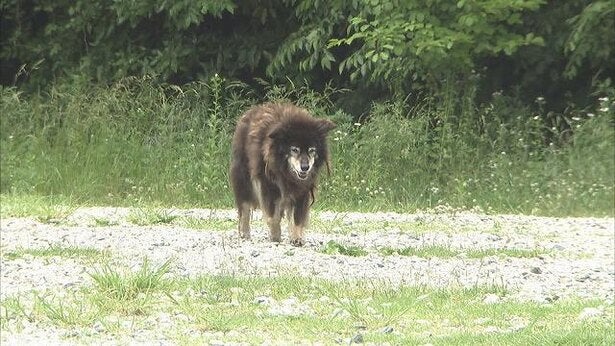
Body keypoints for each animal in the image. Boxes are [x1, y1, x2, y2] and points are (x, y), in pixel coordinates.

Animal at [231, 102, 336, 246]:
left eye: (311, 150)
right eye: (294, 149)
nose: (305, 167)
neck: (286, 173)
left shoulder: (302, 190)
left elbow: (297, 217)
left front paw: (297, 238)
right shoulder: (269, 186)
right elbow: (273, 216)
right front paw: (275, 236)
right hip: (243, 180)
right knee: (244, 208)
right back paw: (244, 233)